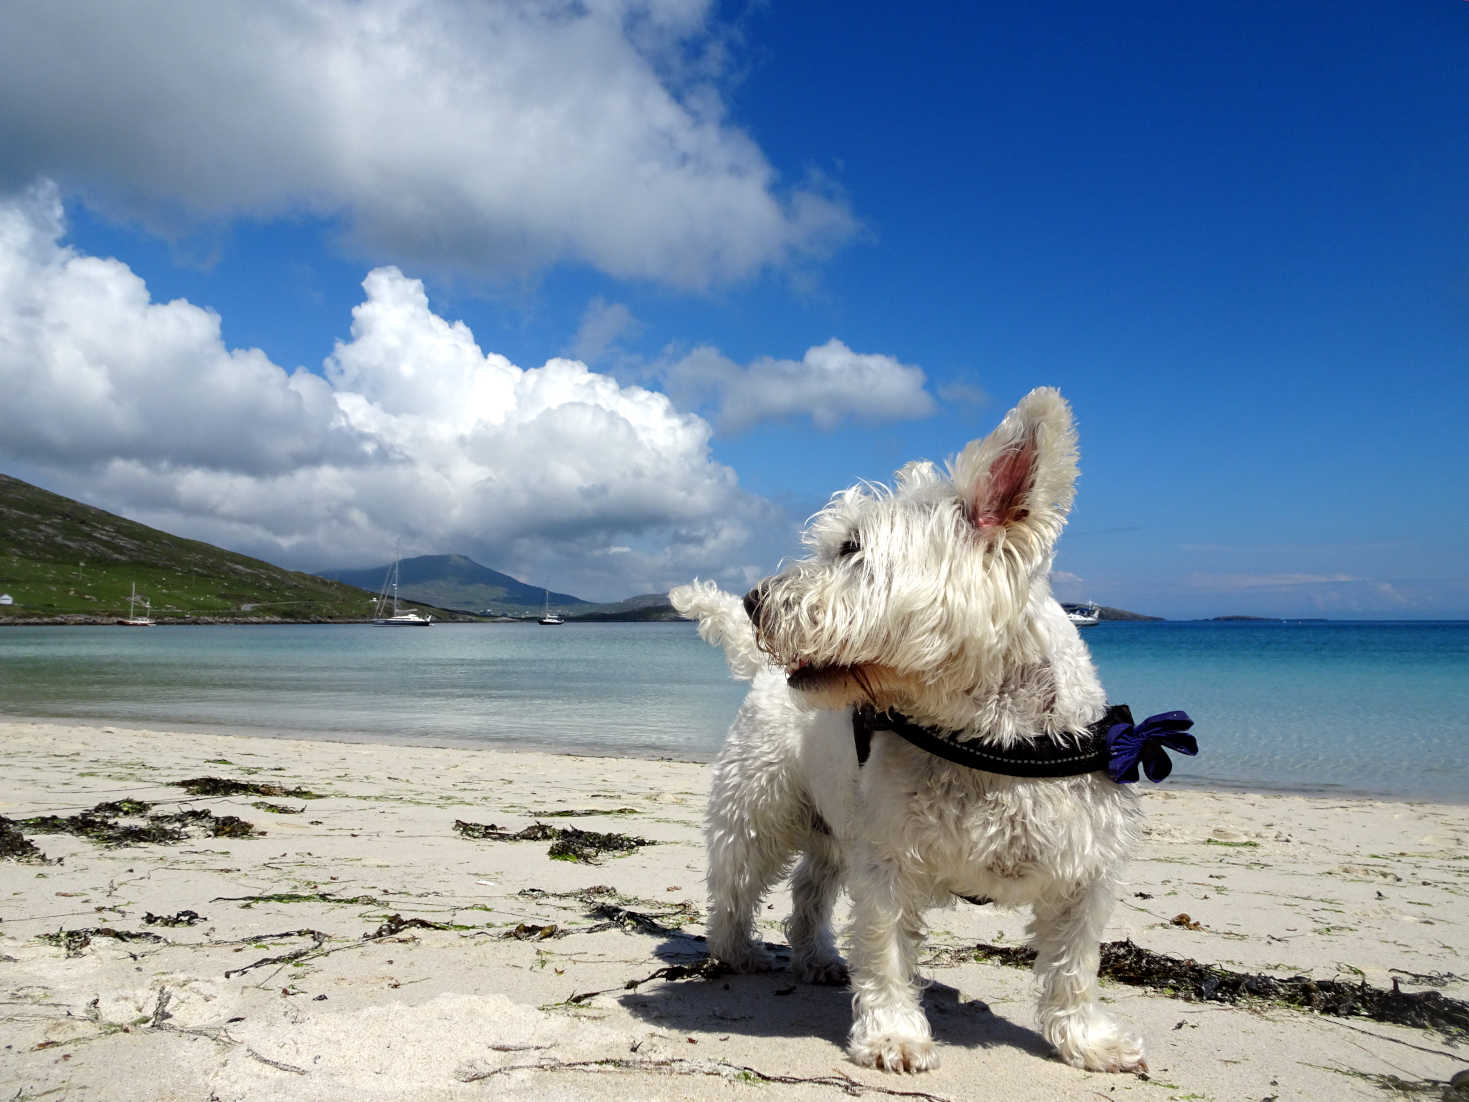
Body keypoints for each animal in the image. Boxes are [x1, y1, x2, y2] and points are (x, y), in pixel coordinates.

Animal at [672, 390, 1186, 1081]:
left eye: (852, 547)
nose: (755, 601)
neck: (990, 739)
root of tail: (761, 674)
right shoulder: (888, 857)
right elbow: (886, 951)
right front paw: (894, 1035)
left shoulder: (1085, 870)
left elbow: (1074, 966)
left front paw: (1088, 1041)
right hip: (760, 808)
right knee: (736, 882)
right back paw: (735, 952)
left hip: (834, 823)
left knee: (810, 887)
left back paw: (816, 959)